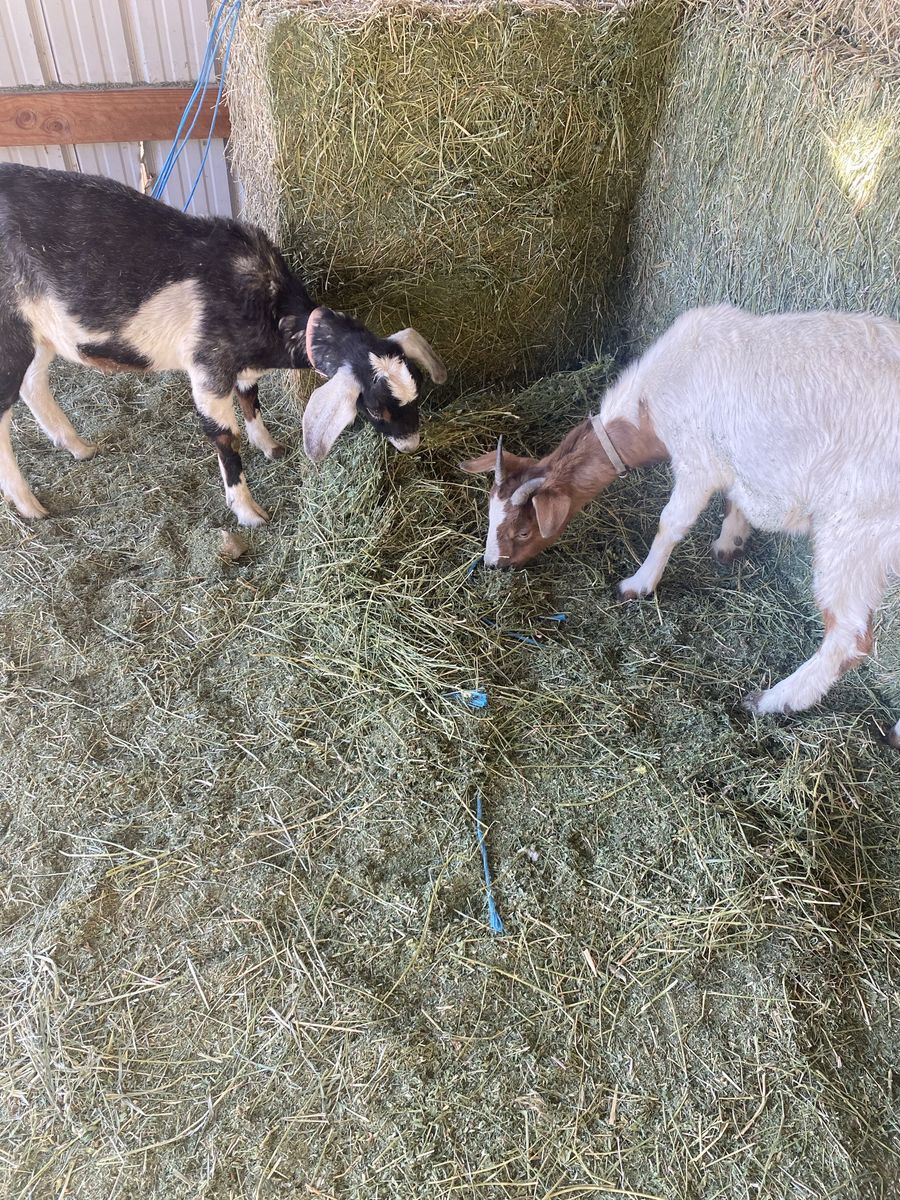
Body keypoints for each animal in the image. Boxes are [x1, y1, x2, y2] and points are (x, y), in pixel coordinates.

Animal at [0, 164, 446, 525]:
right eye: (374, 408)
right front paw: (249, 512)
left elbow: (250, 398)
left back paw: (78, 448)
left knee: (33, 384)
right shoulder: (209, 366)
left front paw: (269, 446)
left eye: (418, 392)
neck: (268, 303)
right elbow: (223, 437)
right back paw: (29, 505)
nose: (411, 444)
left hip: (40, 335)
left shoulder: (243, 366)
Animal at [462, 304, 900, 743]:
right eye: (490, 516)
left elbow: (669, 524)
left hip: (854, 530)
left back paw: (773, 700)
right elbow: (734, 496)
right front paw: (731, 541)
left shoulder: (696, 461)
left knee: (849, 635)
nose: (493, 565)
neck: (648, 406)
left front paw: (638, 584)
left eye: (523, 531)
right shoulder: (729, 460)